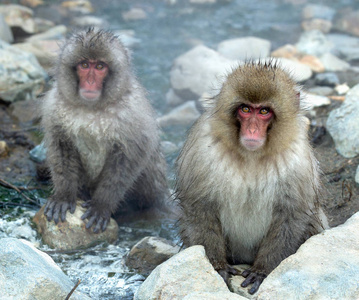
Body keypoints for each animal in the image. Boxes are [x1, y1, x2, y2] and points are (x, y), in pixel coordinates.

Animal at [41, 28, 169, 233]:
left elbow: (128, 159)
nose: (90, 81)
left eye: (100, 66)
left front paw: (101, 205)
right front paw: (63, 195)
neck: (92, 108)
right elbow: (60, 147)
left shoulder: (134, 113)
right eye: (85, 65)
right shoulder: (55, 106)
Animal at [176, 60, 330, 292]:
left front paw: (262, 271)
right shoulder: (202, 148)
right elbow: (199, 206)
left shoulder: (298, 160)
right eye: (246, 109)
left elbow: (291, 214)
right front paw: (218, 267)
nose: (252, 130)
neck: (251, 156)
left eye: (264, 111)